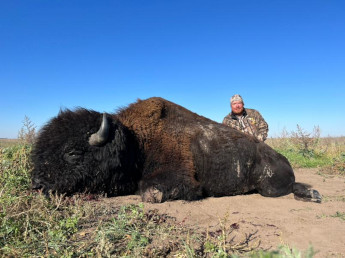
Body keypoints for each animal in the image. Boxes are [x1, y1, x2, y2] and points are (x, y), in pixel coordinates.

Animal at [30, 98, 322, 203]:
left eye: (73, 153)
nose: (37, 184)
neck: (137, 143)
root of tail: (284, 160)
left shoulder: (178, 180)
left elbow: (151, 193)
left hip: (269, 187)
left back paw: (312, 194)